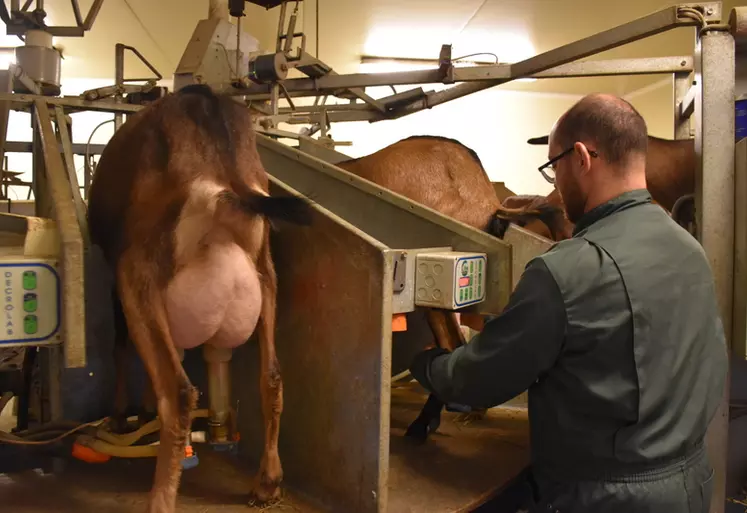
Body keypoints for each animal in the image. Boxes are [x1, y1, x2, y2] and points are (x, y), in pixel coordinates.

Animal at [87, 85, 310, 512]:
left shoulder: (117, 278)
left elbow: (121, 346)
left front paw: (122, 416)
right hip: (265, 272)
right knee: (272, 377)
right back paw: (268, 483)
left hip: (136, 271)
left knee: (178, 390)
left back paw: (160, 500)